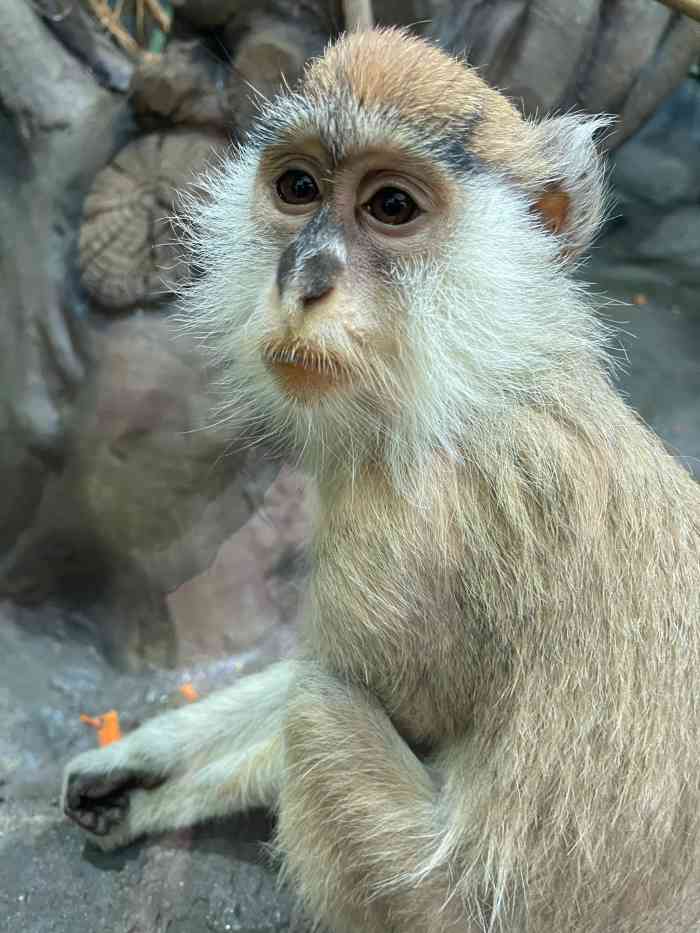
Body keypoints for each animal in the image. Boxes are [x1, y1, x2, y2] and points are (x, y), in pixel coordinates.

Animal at [61, 25, 700, 928]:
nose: (304, 280)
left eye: (391, 207)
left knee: (318, 715)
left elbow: (344, 692)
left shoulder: (402, 537)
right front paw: (136, 763)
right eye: (297, 188)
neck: (484, 377)